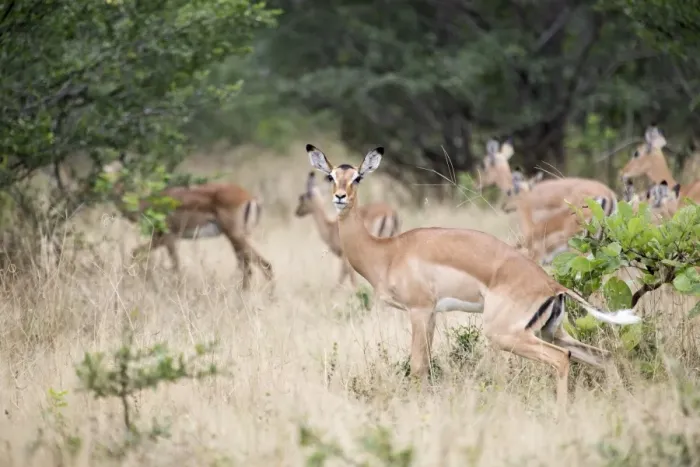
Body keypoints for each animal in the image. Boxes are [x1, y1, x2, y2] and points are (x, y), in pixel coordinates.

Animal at [101, 161, 274, 291]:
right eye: (105, 171)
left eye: (118, 171)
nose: (110, 186)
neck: (146, 205)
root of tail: (249, 197)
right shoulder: (160, 238)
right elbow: (135, 253)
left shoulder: (168, 237)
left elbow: (176, 265)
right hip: (238, 237)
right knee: (257, 266)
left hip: (235, 236)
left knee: (256, 266)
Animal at [306, 143, 640, 412]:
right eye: (331, 176)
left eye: (357, 178)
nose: (340, 197)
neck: (388, 252)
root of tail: (552, 284)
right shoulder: (431, 315)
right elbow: (426, 364)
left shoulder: (419, 310)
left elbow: (417, 366)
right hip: (551, 331)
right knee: (605, 356)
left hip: (507, 334)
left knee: (562, 359)